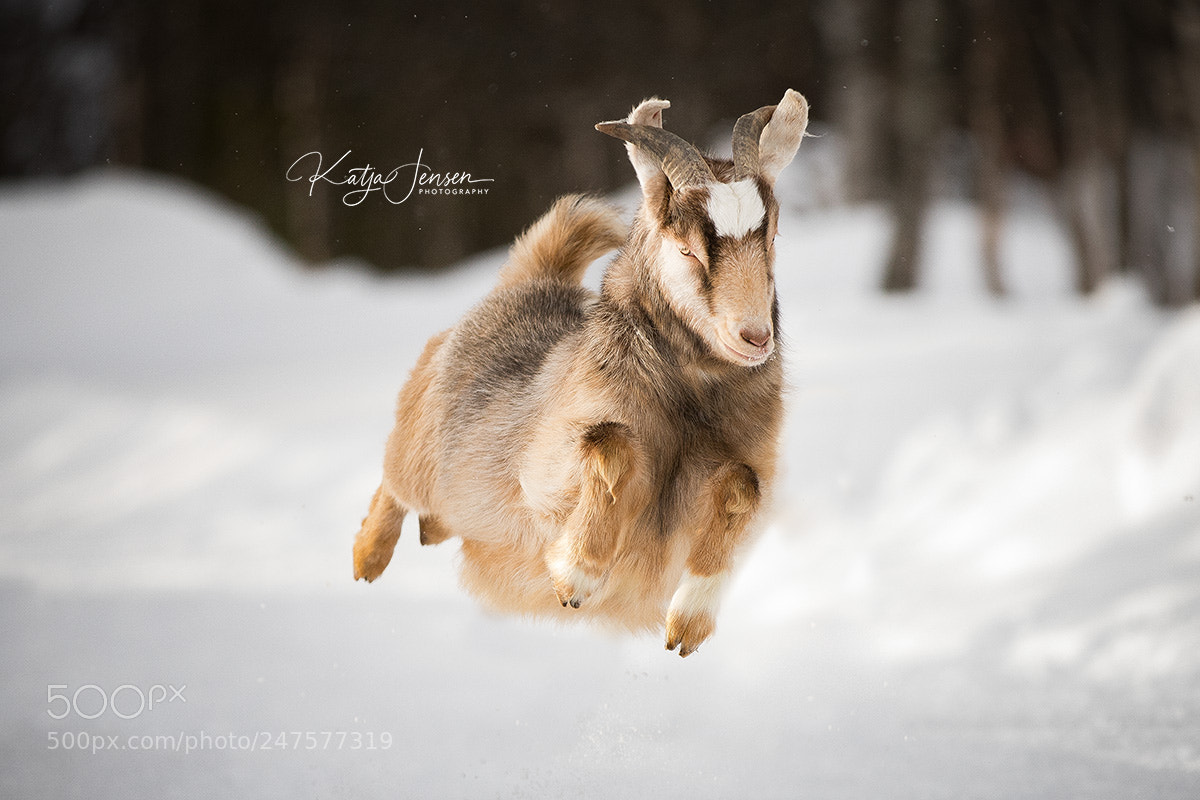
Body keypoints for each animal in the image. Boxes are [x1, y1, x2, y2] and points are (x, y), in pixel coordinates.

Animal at [354, 90, 809, 656]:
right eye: (685, 249)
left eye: (772, 238)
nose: (754, 338)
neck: (687, 396)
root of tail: (531, 279)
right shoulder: (548, 471)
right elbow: (612, 446)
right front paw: (575, 579)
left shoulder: (740, 478)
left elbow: (741, 487)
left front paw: (687, 627)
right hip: (418, 456)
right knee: (393, 485)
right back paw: (367, 560)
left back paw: (421, 536)